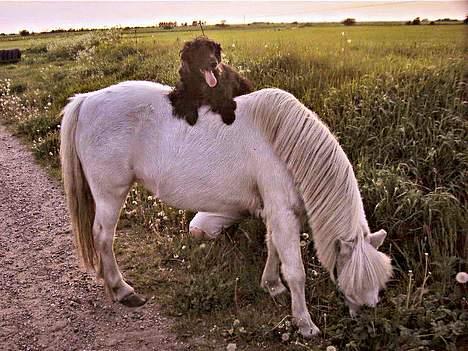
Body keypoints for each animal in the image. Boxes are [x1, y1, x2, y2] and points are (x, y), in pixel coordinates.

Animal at [61, 81, 392, 340]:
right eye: (353, 283)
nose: (369, 324)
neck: (284, 144)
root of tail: (86, 99)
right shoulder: (283, 213)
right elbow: (296, 271)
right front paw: (305, 323)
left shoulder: (277, 212)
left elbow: (273, 247)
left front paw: (272, 285)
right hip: (110, 194)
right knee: (103, 237)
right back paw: (121, 290)